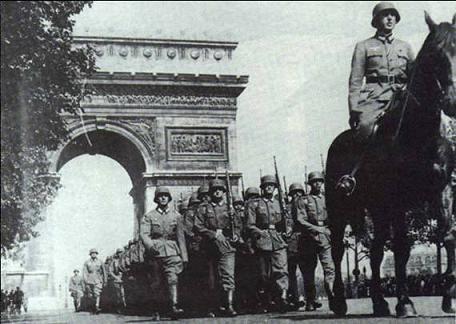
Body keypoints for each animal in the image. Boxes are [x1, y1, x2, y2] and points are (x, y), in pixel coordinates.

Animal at [326, 13, 454, 318]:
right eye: (436, 54)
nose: (452, 102)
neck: (419, 135)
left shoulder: (441, 191)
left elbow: (448, 235)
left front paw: (449, 295)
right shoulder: (397, 201)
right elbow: (402, 247)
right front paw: (405, 302)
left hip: (378, 209)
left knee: (375, 249)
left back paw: (378, 301)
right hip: (340, 208)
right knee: (336, 249)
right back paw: (340, 301)